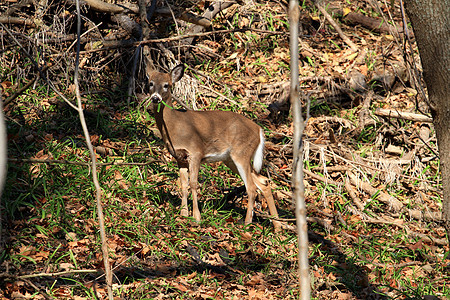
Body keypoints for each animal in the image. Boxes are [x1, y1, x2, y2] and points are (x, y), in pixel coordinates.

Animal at [146, 64, 280, 231]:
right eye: (150, 83)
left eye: (166, 85)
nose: (155, 98)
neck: (174, 126)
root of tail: (259, 130)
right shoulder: (179, 157)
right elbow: (183, 184)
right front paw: (183, 214)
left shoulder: (195, 151)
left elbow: (193, 183)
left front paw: (196, 218)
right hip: (230, 159)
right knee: (263, 182)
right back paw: (277, 226)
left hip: (241, 153)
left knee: (251, 187)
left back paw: (247, 223)